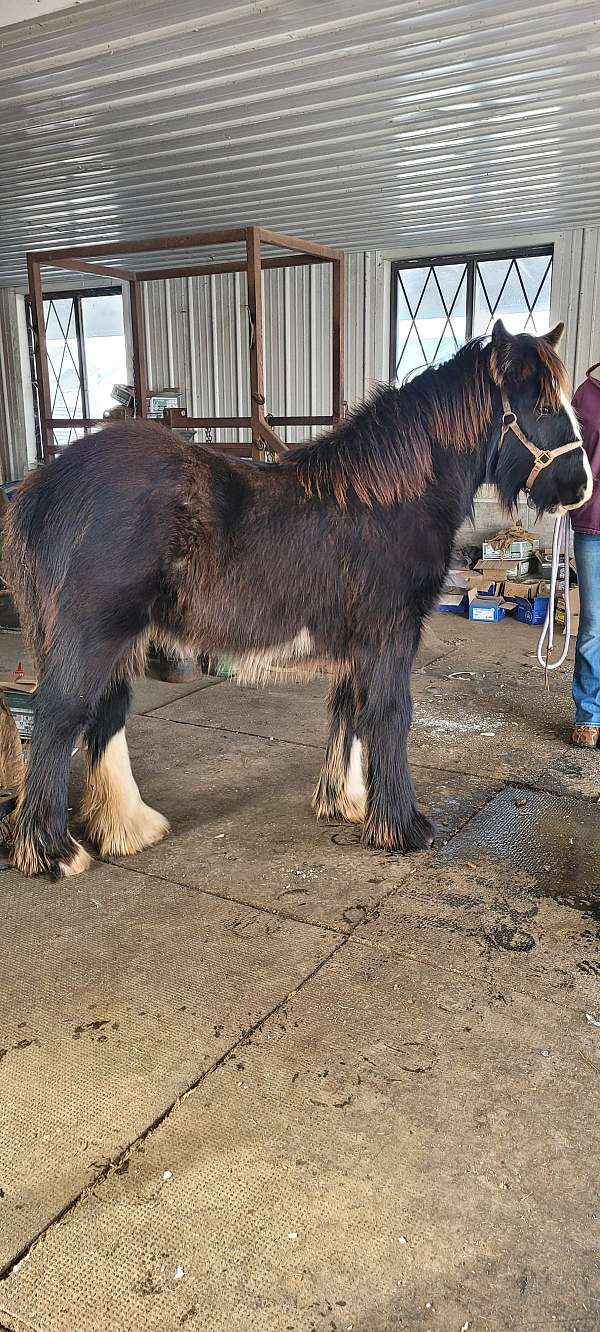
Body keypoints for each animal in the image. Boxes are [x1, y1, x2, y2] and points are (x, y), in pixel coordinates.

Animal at [2, 319, 592, 884]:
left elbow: (350, 709)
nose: (581, 487)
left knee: (105, 714)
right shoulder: (391, 636)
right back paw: (52, 853)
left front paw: (346, 803)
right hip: (92, 637)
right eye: (542, 407)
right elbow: (391, 714)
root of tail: (40, 488)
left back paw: (128, 829)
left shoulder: (360, 644)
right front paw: (402, 827)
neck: (391, 498)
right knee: (59, 718)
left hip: (123, 639)